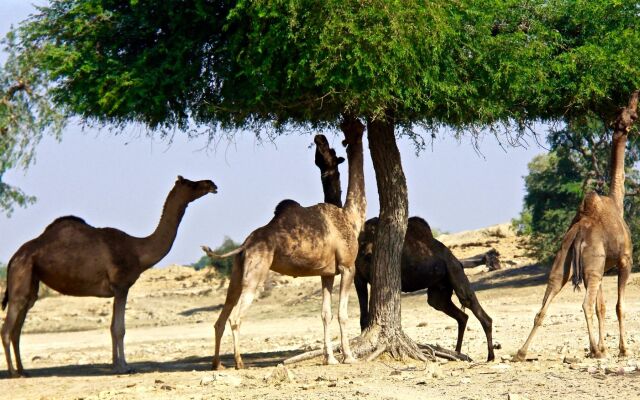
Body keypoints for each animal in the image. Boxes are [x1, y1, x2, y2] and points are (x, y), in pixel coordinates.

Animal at [0, 177, 218, 376]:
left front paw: (117, 365)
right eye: (190, 183)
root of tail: (14, 258)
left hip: (31, 281)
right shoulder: (121, 286)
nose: (211, 184)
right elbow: (119, 329)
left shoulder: (117, 290)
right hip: (21, 276)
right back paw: (12, 373)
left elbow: (114, 327)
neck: (138, 251)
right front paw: (124, 367)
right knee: (7, 328)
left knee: (18, 328)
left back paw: (23, 371)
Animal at [202, 117, 368, 370]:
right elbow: (342, 314)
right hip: (256, 271)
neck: (351, 217)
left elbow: (325, 314)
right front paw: (348, 357)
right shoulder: (348, 266)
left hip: (238, 272)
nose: (319, 136)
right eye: (330, 151)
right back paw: (239, 363)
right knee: (236, 317)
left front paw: (329, 358)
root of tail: (246, 244)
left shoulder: (327, 273)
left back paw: (217, 364)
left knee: (221, 317)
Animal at [316, 134, 496, 362]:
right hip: (438, 290)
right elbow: (364, 317)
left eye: (329, 152)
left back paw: (489, 356)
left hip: (455, 274)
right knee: (460, 314)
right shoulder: (359, 276)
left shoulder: (371, 274)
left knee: (478, 310)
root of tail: (455, 260)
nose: (319, 138)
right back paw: (458, 353)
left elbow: (367, 315)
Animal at [516, 91, 640, 362]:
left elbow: (602, 307)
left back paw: (521, 352)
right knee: (585, 304)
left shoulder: (603, 267)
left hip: (565, 260)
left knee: (547, 299)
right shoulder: (625, 259)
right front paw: (621, 349)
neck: (616, 201)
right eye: (632, 115)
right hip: (592, 264)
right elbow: (618, 306)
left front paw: (604, 347)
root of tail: (578, 235)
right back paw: (594, 350)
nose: (635, 115)